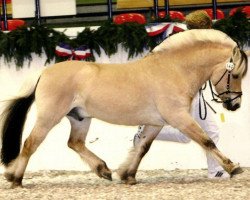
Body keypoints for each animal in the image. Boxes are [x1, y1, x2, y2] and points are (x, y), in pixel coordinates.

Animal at [0, 29, 248, 188]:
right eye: (235, 75)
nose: (234, 104)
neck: (174, 70)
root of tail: (44, 72)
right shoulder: (179, 118)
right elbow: (207, 141)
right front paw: (232, 167)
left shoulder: (156, 123)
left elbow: (142, 147)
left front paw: (127, 175)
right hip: (49, 117)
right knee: (31, 143)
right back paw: (16, 179)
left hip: (80, 118)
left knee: (75, 143)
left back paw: (103, 170)